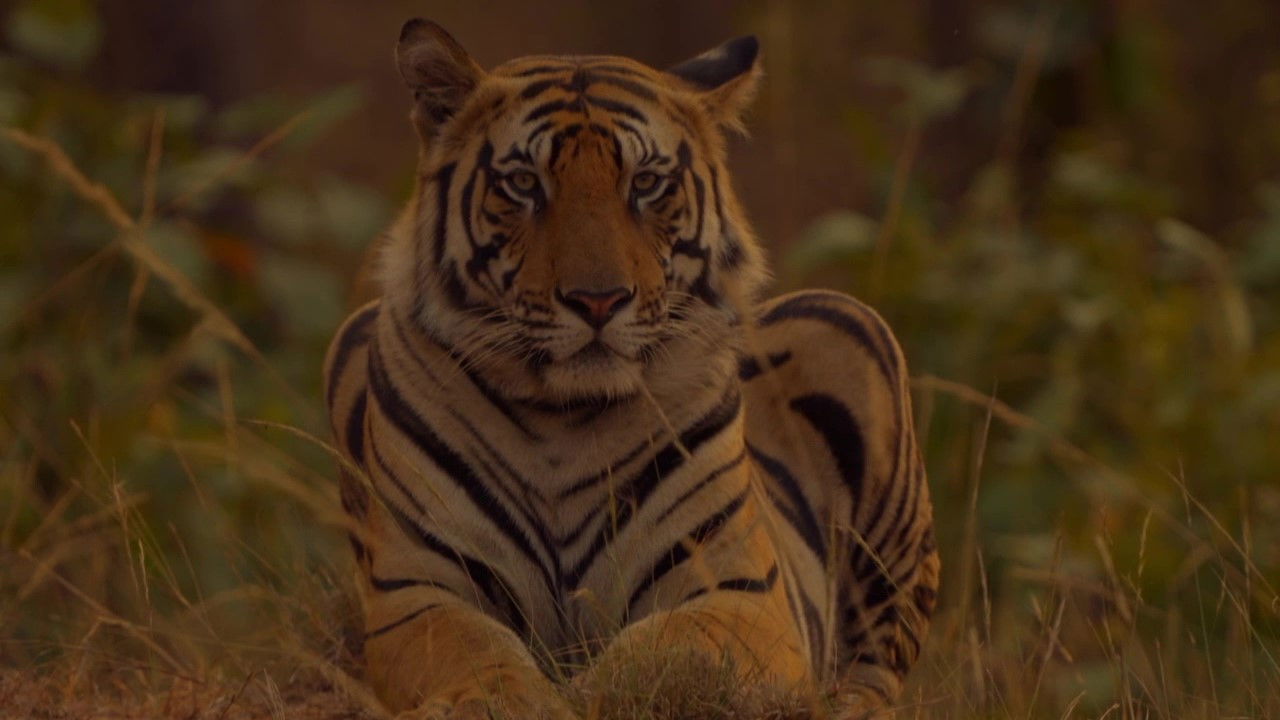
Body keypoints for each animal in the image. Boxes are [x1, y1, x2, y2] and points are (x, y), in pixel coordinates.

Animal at [324, 18, 939, 720]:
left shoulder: (739, 590)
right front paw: (512, 700)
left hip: (848, 329)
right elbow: (476, 653)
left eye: (645, 184)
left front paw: (587, 693)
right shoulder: (417, 589)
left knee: (877, 672)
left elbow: (668, 649)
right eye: (524, 184)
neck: (562, 419)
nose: (598, 300)